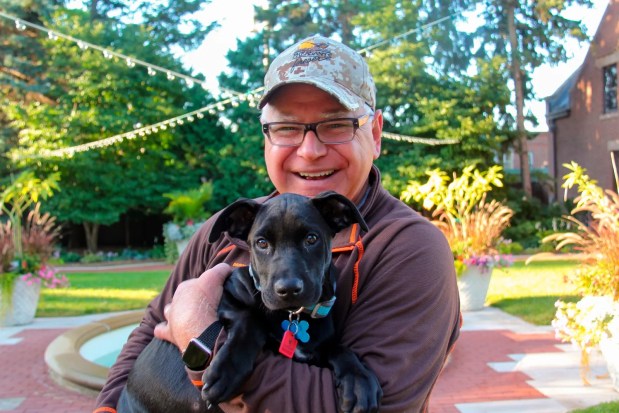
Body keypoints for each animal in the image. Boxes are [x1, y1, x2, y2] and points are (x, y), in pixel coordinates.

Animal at [118, 192, 380, 410]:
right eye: (261, 243)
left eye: (311, 239)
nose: (288, 289)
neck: (292, 315)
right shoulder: (228, 294)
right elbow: (249, 321)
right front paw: (227, 370)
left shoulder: (318, 347)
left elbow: (340, 349)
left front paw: (359, 379)